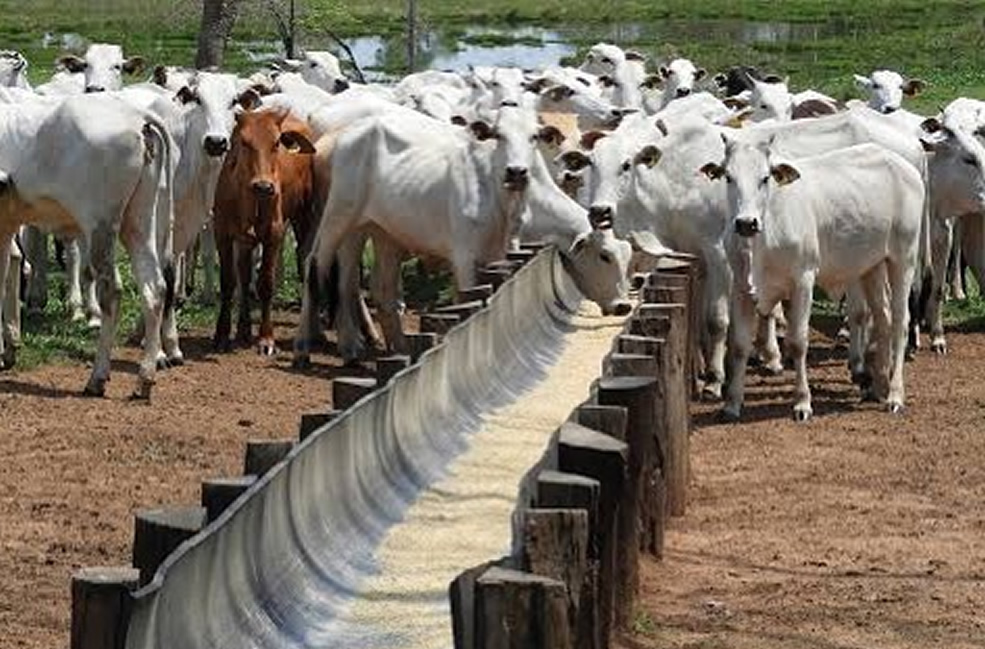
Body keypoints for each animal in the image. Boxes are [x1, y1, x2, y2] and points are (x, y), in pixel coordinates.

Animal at [0, 95, 173, 400]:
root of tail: (136, 115)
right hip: (139, 221)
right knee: (154, 288)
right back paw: (144, 378)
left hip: (99, 225)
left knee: (112, 291)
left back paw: (98, 377)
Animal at [292, 104, 632, 362]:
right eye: (604, 256)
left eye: (535, 136)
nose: (623, 305)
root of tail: (336, 139)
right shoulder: (465, 258)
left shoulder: (499, 255)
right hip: (338, 218)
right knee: (315, 264)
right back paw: (306, 347)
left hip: (375, 231)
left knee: (363, 284)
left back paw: (383, 347)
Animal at [700, 137, 924, 420]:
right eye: (729, 177)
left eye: (765, 178)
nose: (746, 223)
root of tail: (904, 165)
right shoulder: (741, 287)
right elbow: (739, 345)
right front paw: (731, 404)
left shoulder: (803, 282)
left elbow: (798, 342)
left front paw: (802, 403)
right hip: (871, 266)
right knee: (883, 318)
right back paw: (879, 386)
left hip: (904, 258)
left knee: (900, 323)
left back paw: (895, 395)